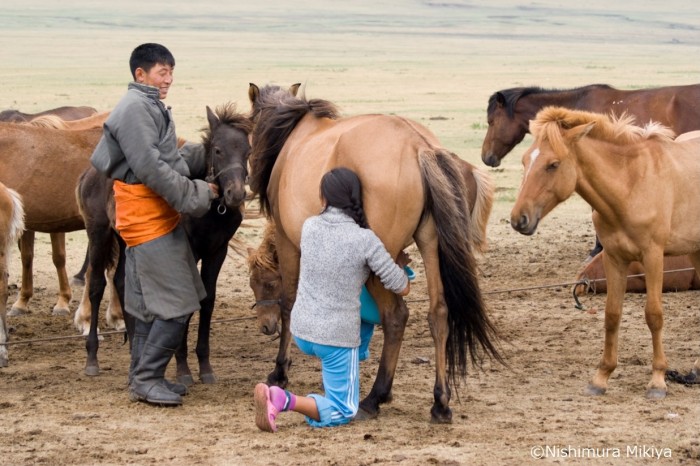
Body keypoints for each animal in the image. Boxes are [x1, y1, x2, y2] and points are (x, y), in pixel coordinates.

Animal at [76, 104, 252, 380]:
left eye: (248, 151)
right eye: (218, 150)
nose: (235, 194)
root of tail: (89, 173)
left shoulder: (217, 251)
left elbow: (207, 300)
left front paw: (205, 366)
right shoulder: (186, 251)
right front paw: (182, 368)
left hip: (126, 239)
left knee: (121, 282)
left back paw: (134, 351)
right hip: (99, 234)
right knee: (95, 285)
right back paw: (92, 357)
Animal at [249, 83, 500, 422]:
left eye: (263, 283)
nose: (264, 327)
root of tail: (418, 146)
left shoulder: (291, 245)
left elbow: (290, 305)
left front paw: (281, 370)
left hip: (380, 262)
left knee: (395, 316)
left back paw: (374, 397)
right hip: (429, 244)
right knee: (438, 314)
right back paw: (439, 401)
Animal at [508, 106, 700, 400]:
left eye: (553, 164)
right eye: (525, 160)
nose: (519, 219)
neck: (631, 185)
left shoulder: (653, 258)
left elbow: (654, 316)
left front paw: (657, 380)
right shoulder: (614, 258)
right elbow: (611, 315)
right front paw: (601, 377)